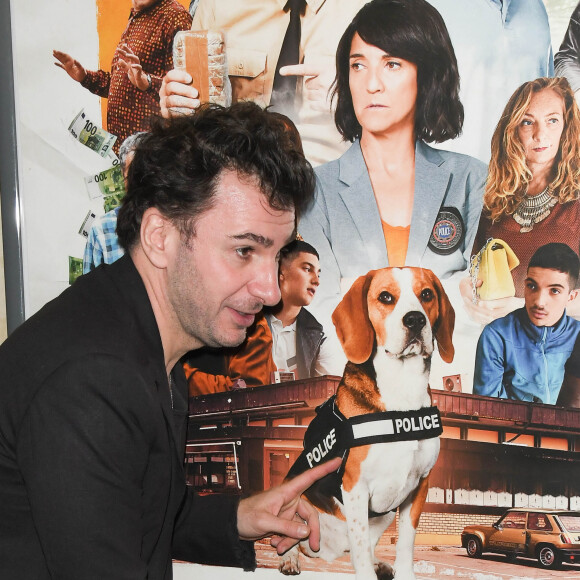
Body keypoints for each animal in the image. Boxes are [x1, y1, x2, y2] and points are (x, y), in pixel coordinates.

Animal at [278, 268, 456, 580]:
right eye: (385, 297)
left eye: (427, 294)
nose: (415, 319)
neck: (401, 389)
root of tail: (327, 553)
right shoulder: (356, 486)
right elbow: (360, 545)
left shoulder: (419, 486)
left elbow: (405, 542)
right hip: (293, 498)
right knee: (290, 542)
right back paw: (290, 560)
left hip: (384, 514)